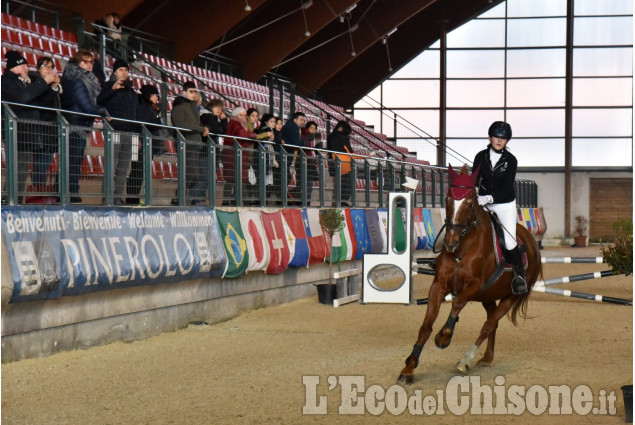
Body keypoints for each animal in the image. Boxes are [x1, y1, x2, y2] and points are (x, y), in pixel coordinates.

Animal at [398, 164, 540, 382]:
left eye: (470, 203)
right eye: (447, 198)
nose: (450, 241)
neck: (462, 250)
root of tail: (532, 242)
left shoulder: (474, 286)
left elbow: (457, 303)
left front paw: (444, 337)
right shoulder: (438, 285)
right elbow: (426, 326)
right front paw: (409, 367)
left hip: (511, 296)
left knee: (489, 324)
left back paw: (465, 361)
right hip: (488, 296)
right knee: (492, 323)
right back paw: (486, 358)